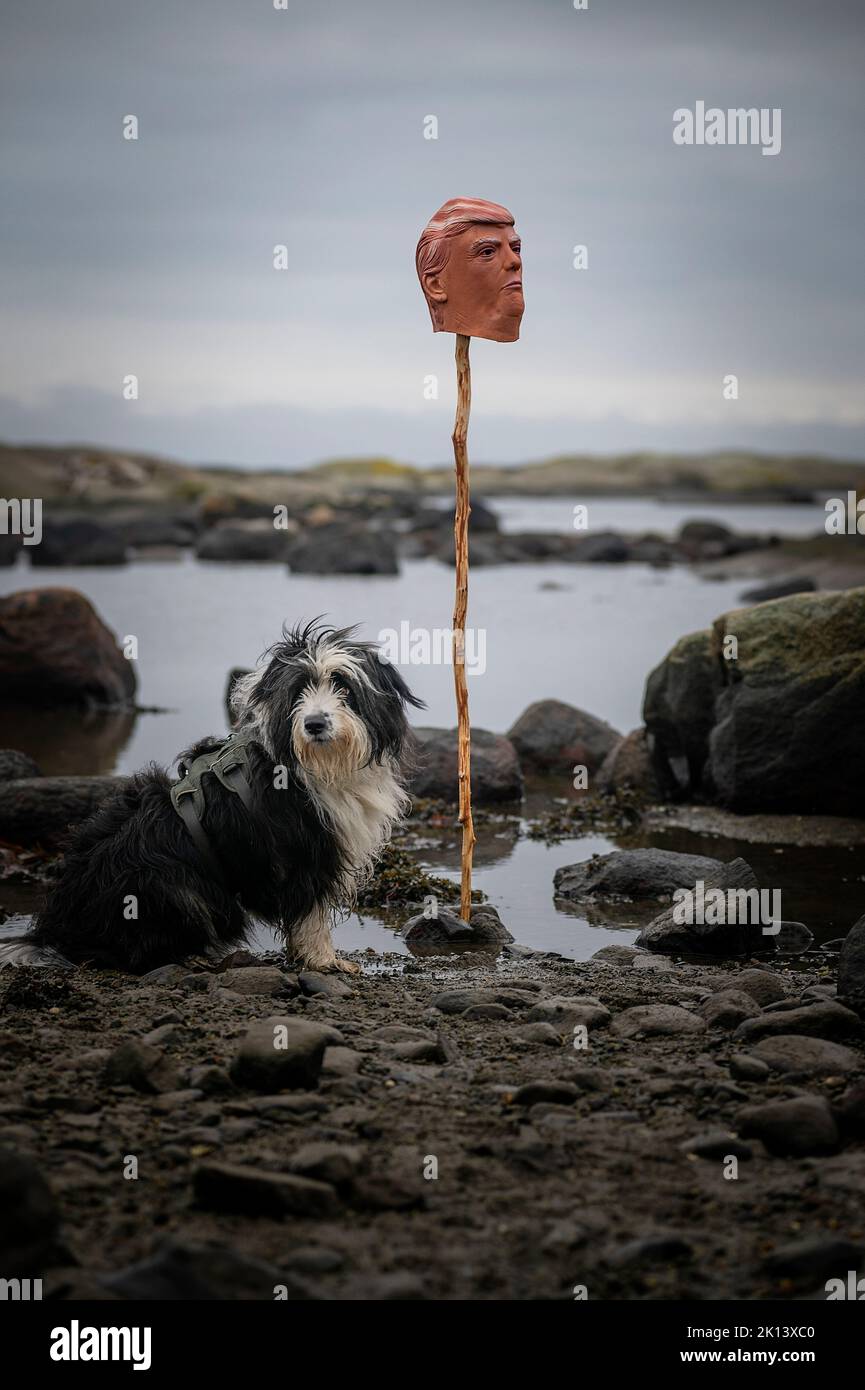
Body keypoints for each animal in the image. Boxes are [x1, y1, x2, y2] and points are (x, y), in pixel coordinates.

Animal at [3, 625, 422, 973]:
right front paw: (324, 961)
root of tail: (55, 931)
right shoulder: (304, 852)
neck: (320, 764)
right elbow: (311, 913)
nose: (314, 724)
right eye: (299, 691)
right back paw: (194, 957)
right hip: (170, 884)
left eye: (343, 687)